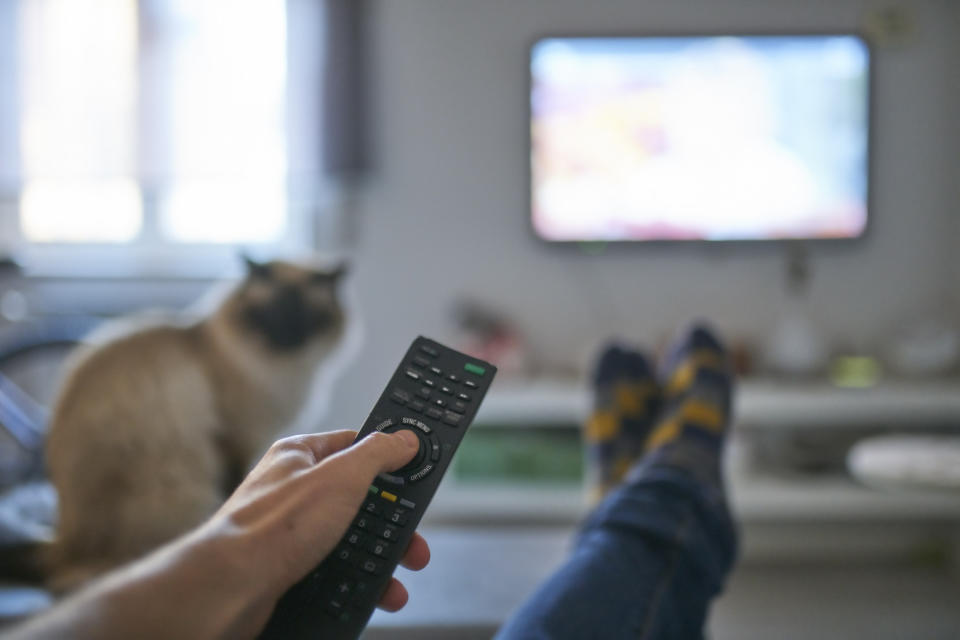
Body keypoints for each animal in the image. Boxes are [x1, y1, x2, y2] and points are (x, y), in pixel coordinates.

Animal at [43, 256, 348, 596]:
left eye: (306, 318)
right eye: (268, 315)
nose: (286, 338)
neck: (281, 372)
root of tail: (62, 546)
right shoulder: (235, 440)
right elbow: (237, 484)